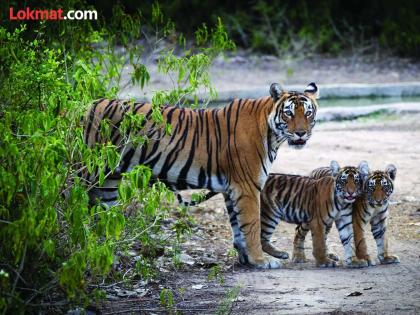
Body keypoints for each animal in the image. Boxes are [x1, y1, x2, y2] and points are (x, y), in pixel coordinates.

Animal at [83, 82, 318, 270]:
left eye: (308, 113)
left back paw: (107, 258)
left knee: (103, 219)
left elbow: (238, 227)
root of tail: (83, 106)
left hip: (108, 181)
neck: (273, 135)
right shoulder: (247, 187)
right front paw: (261, 261)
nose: (301, 133)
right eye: (288, 113)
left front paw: (246, 259)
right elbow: (251, 226)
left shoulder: (232, 189)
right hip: (87, 172)